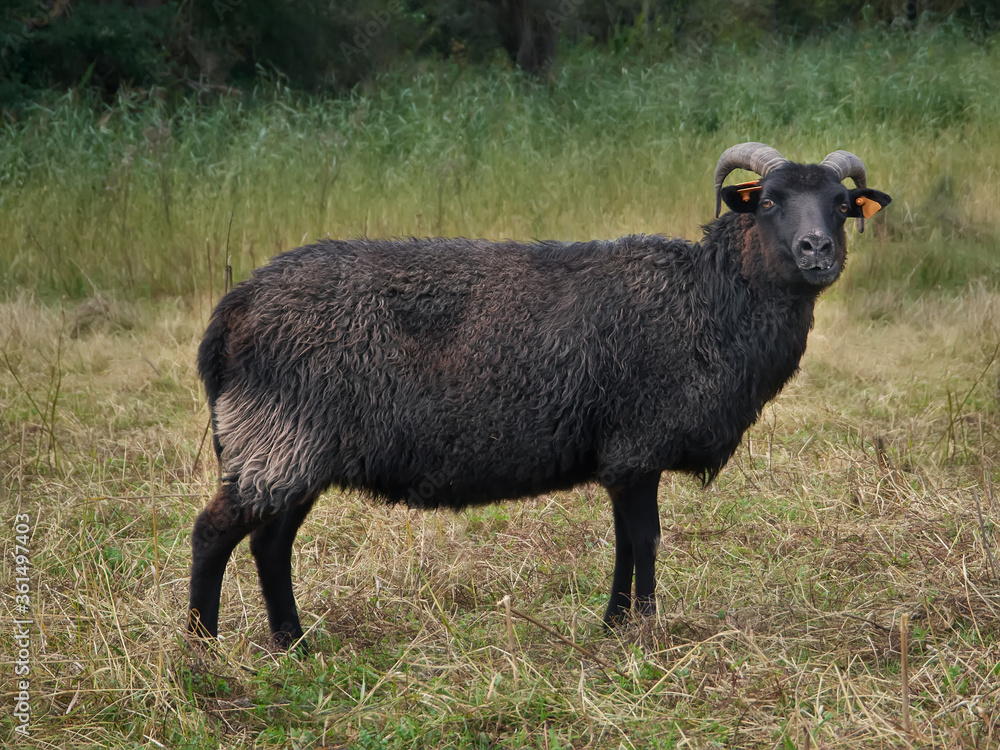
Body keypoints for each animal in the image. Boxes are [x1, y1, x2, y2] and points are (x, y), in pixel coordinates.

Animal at [187, 142, 892, 650]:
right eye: (768, 201)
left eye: (841, 204)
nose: (816, 250)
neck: (711, 298)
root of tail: (231, 312)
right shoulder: (638, 443)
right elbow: (645, 540)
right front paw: (644, 634)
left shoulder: (621, 458)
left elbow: (624, 541)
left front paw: (613, 625)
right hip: (279, 437)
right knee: (215, 531)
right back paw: (203, 649)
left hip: (294, 448)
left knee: (268, 544)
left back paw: (293, 645)